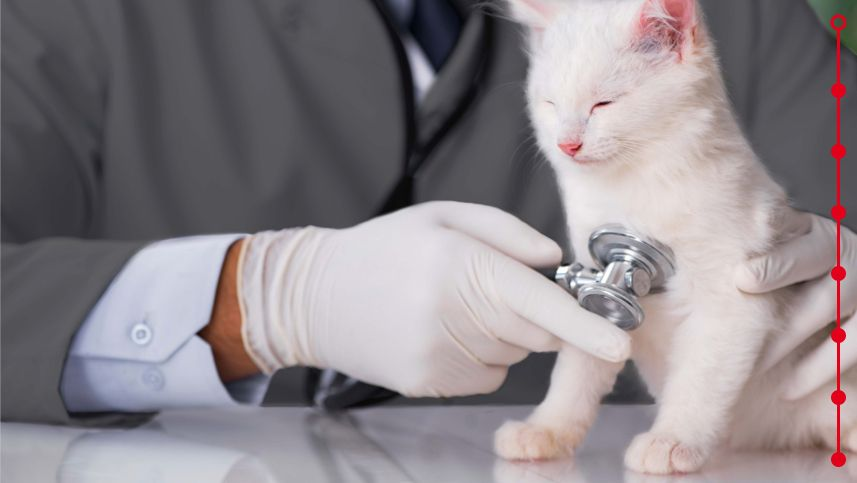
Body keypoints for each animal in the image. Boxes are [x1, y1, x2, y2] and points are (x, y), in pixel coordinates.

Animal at [494, 0, 856, 476]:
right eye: (551, 104)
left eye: (603, 103)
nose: (567, 144)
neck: (636, 183)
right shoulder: (593, 275)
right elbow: (577, 367)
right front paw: (547, 429)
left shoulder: (733, 297)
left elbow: (700, 378)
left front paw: (673, 439)